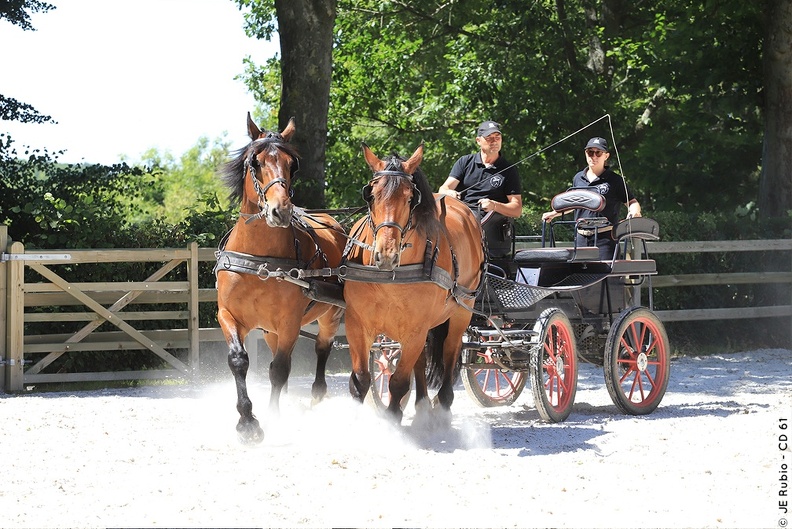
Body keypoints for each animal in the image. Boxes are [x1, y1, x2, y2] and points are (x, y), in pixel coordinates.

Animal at [215, 114, 344, 442]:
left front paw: (273, 416)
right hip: (270, 331)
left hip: (331, 315)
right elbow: (239, 360)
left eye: (292, 165)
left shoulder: (289, 322)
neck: (261, 262)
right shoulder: (228, 315)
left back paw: (318, 393)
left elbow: (280, 369)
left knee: (322, 347)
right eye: (256, 162)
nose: (280, 210)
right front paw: (247, 420)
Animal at [338, 142, 482, 422]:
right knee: (421, 359)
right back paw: (423, 404)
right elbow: (360, 380)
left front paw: (394, 419)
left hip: (462, 311)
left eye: (409, 198)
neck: (388, 279)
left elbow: (398, 382)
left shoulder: (416, 328)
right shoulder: (357, 324)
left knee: (450, 351)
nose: (386, 254)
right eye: (371, 196)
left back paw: (442, 406)